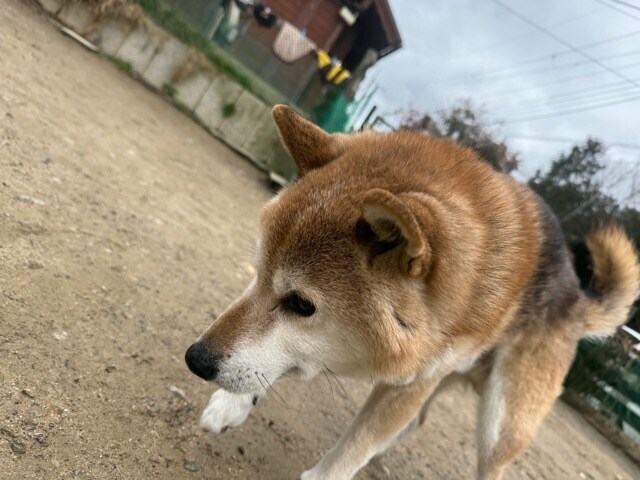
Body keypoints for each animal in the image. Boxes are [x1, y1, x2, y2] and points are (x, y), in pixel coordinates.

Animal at [182, 106, 636, 480]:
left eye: (301, 304)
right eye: (257, 273)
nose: (196, 359)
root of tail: (576, 291)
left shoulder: (416, 378)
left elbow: (352, 450)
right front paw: (232, 402)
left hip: (502, 422)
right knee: (415, 423)